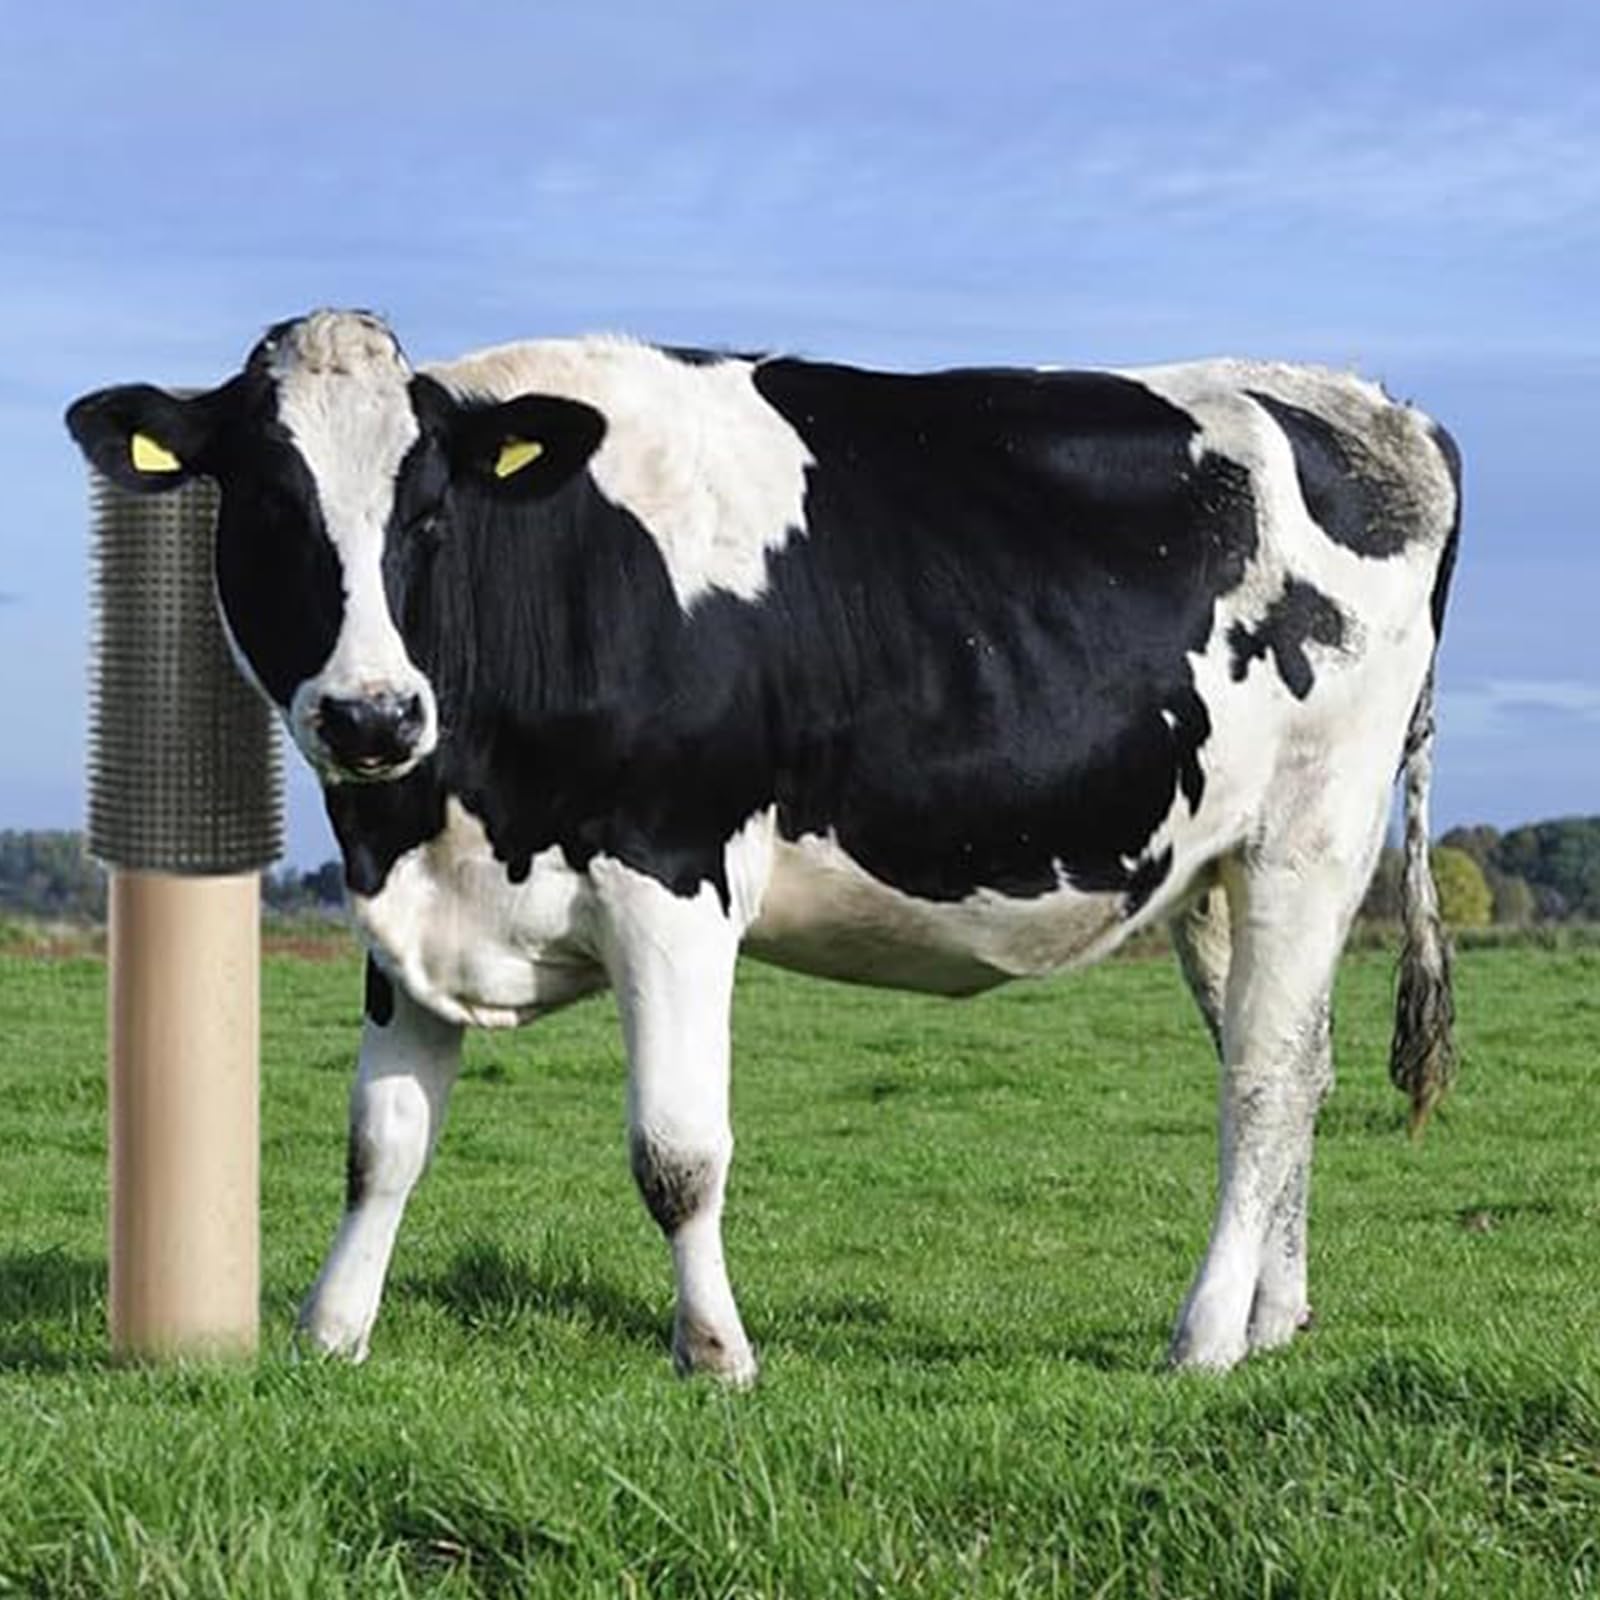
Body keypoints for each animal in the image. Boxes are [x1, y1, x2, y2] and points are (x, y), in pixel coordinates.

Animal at [66, 309, 1460, 1378]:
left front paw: (714, 1351)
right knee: (1297, 1065)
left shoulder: (671, 875)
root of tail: (1374, 405)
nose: (372, 714)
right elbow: (381, 1142)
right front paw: (330, 1331)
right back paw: (1277, 1318)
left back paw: (1205, 1335)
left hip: (1311, 836)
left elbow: (677, 1153)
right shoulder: (414, 896)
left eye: (429, 516)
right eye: (266, 504)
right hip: (1213, 868)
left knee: (1261, 1081)